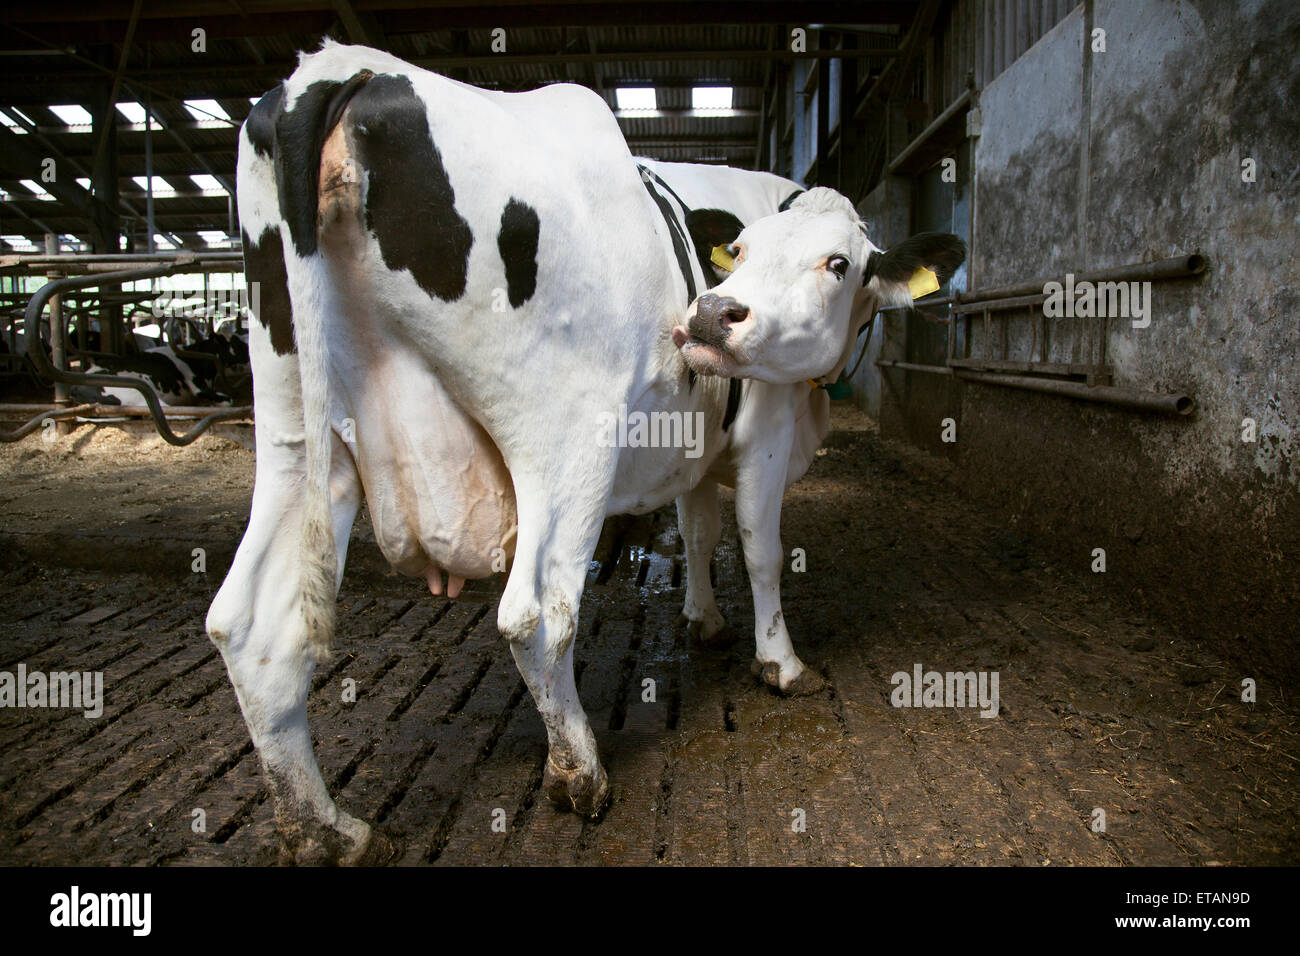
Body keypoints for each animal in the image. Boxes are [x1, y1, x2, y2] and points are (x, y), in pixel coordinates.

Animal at [206, 40, 964, 864]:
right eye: (742, 253)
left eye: (838, 263)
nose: (711, 313)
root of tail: (345, 68)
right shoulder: (765, 423)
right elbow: (760, 548)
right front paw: (782, 664)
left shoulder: (696, 443)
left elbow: (699, 529)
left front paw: (703, 619)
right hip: (565, 439)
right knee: (536, 613)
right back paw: (581, 775)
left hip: (298, 429)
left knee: (251, 626)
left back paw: (327, 830)